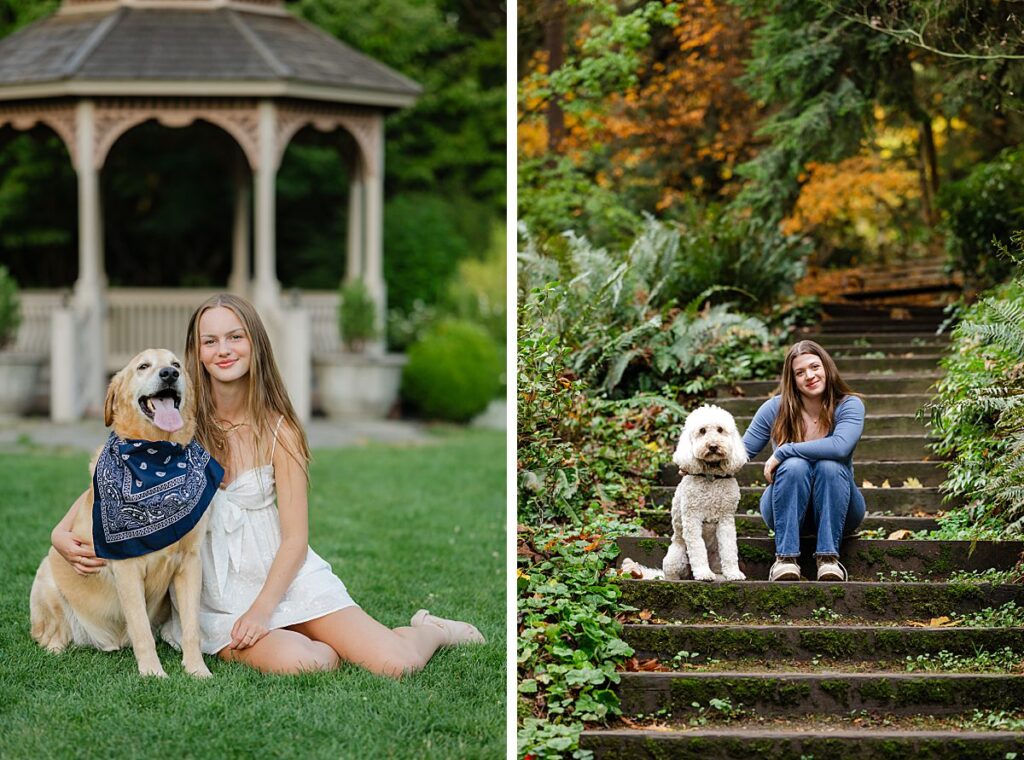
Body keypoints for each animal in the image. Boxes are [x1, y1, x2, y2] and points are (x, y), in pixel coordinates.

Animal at [659, 405, 749, 581]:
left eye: (720, 429)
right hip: (675, 557)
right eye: (702, 431)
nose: (713, 446)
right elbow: (697, 548)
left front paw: (733, 573)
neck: (711, 476)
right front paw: (703, 573)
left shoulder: (726, 519)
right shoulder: (692, 519)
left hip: (716, 554)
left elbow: (729, 549)